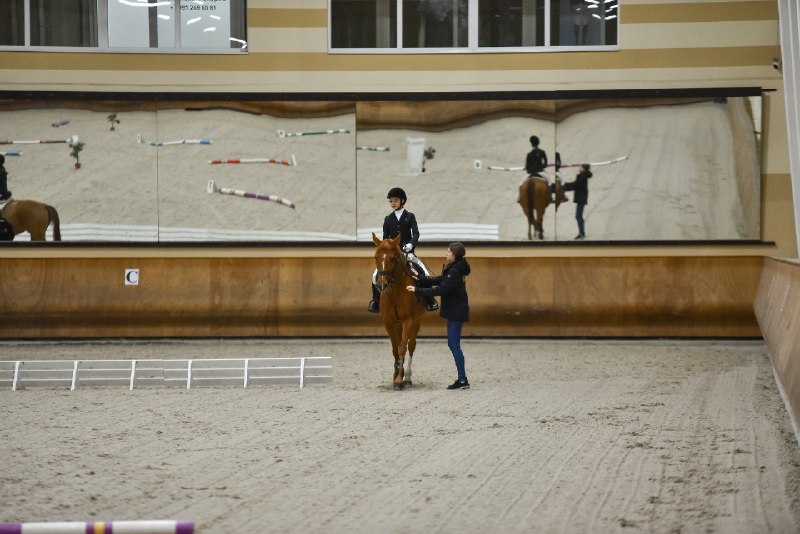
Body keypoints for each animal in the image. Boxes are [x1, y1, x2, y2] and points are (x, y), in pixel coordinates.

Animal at [372, 232, 428, 392]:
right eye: (376, 257)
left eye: (392, 258)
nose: (382, 285)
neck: (395, 289)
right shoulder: (389, 322)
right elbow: (395, 349)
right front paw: (396, 375)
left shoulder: (408, 320)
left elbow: (402, 347)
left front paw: (399, 380)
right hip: (398, 324)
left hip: (416, 321)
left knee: (411, 345)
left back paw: (407, 377)